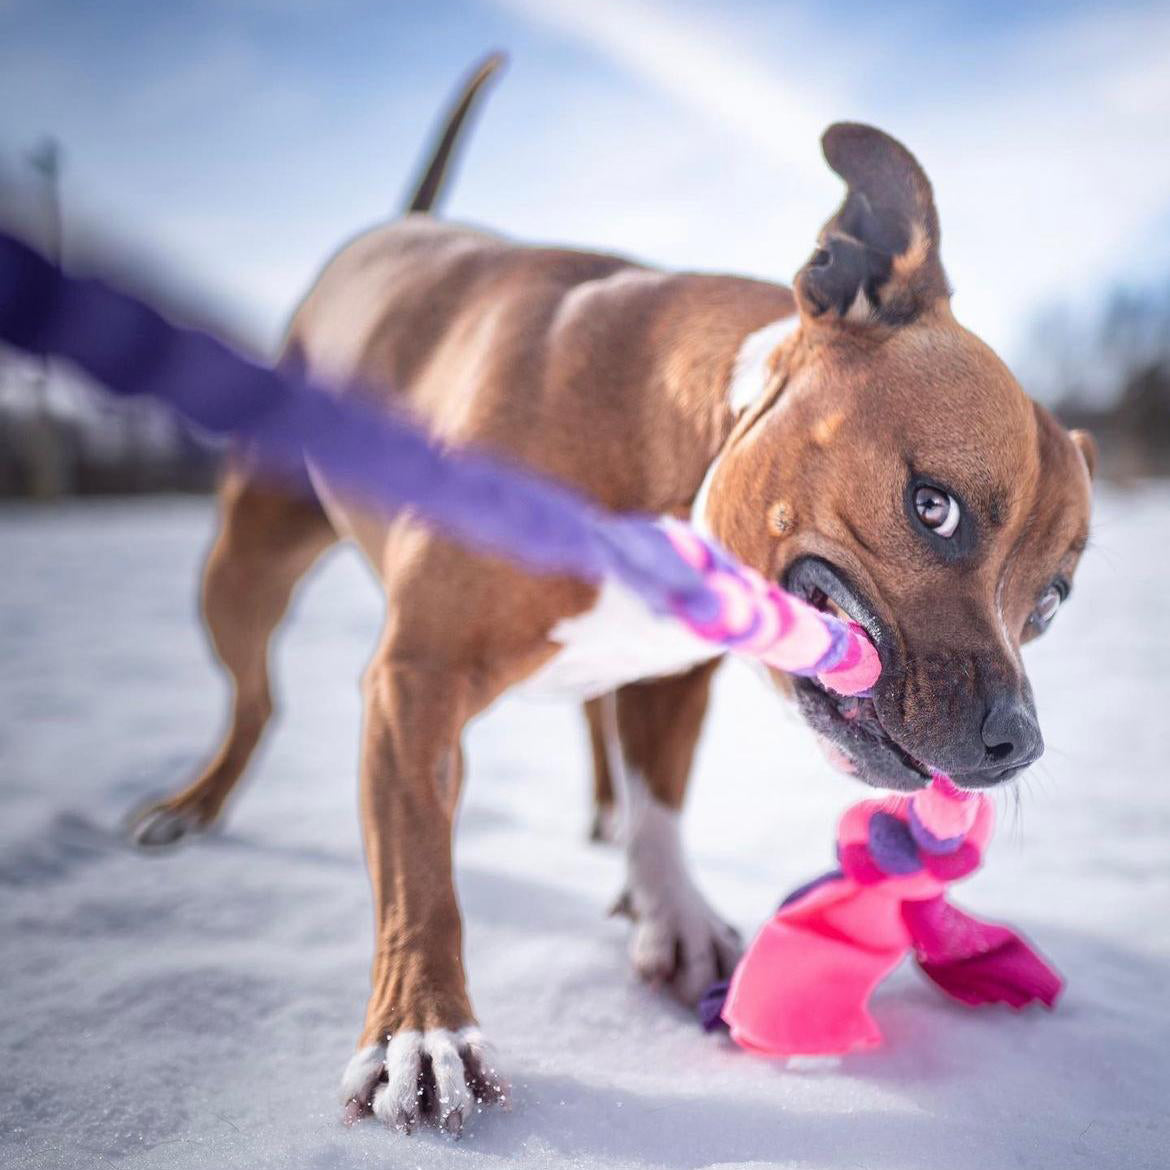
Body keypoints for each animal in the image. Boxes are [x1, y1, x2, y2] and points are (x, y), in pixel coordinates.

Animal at [130, 54, 1095, 1132]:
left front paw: (672, 912)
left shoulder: (671, 677)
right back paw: (193, 806)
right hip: (242, 568)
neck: (677, 438)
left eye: (1051, 604)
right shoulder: (416, 680)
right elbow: (419, 865)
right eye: (935, 508)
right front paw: (423, 1032)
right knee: (255, 697)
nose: (1018, 742)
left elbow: (659, 800)